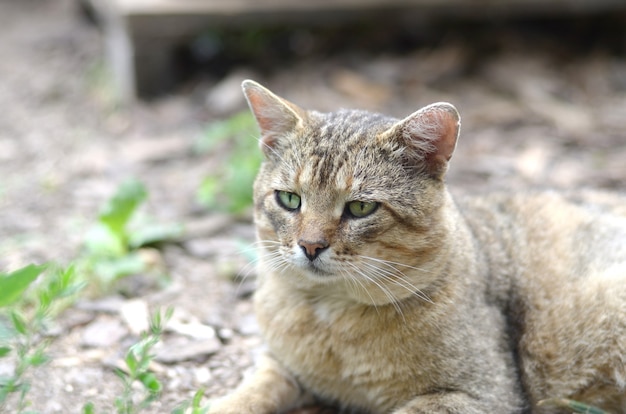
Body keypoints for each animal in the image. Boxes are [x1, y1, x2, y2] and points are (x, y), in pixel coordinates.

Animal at [207, 79, 620, 412]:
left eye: (360, 207)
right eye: (290, 199)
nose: (310, 246)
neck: (331, 317)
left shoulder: (482, 394)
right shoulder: (279, 363)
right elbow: (253, 388)